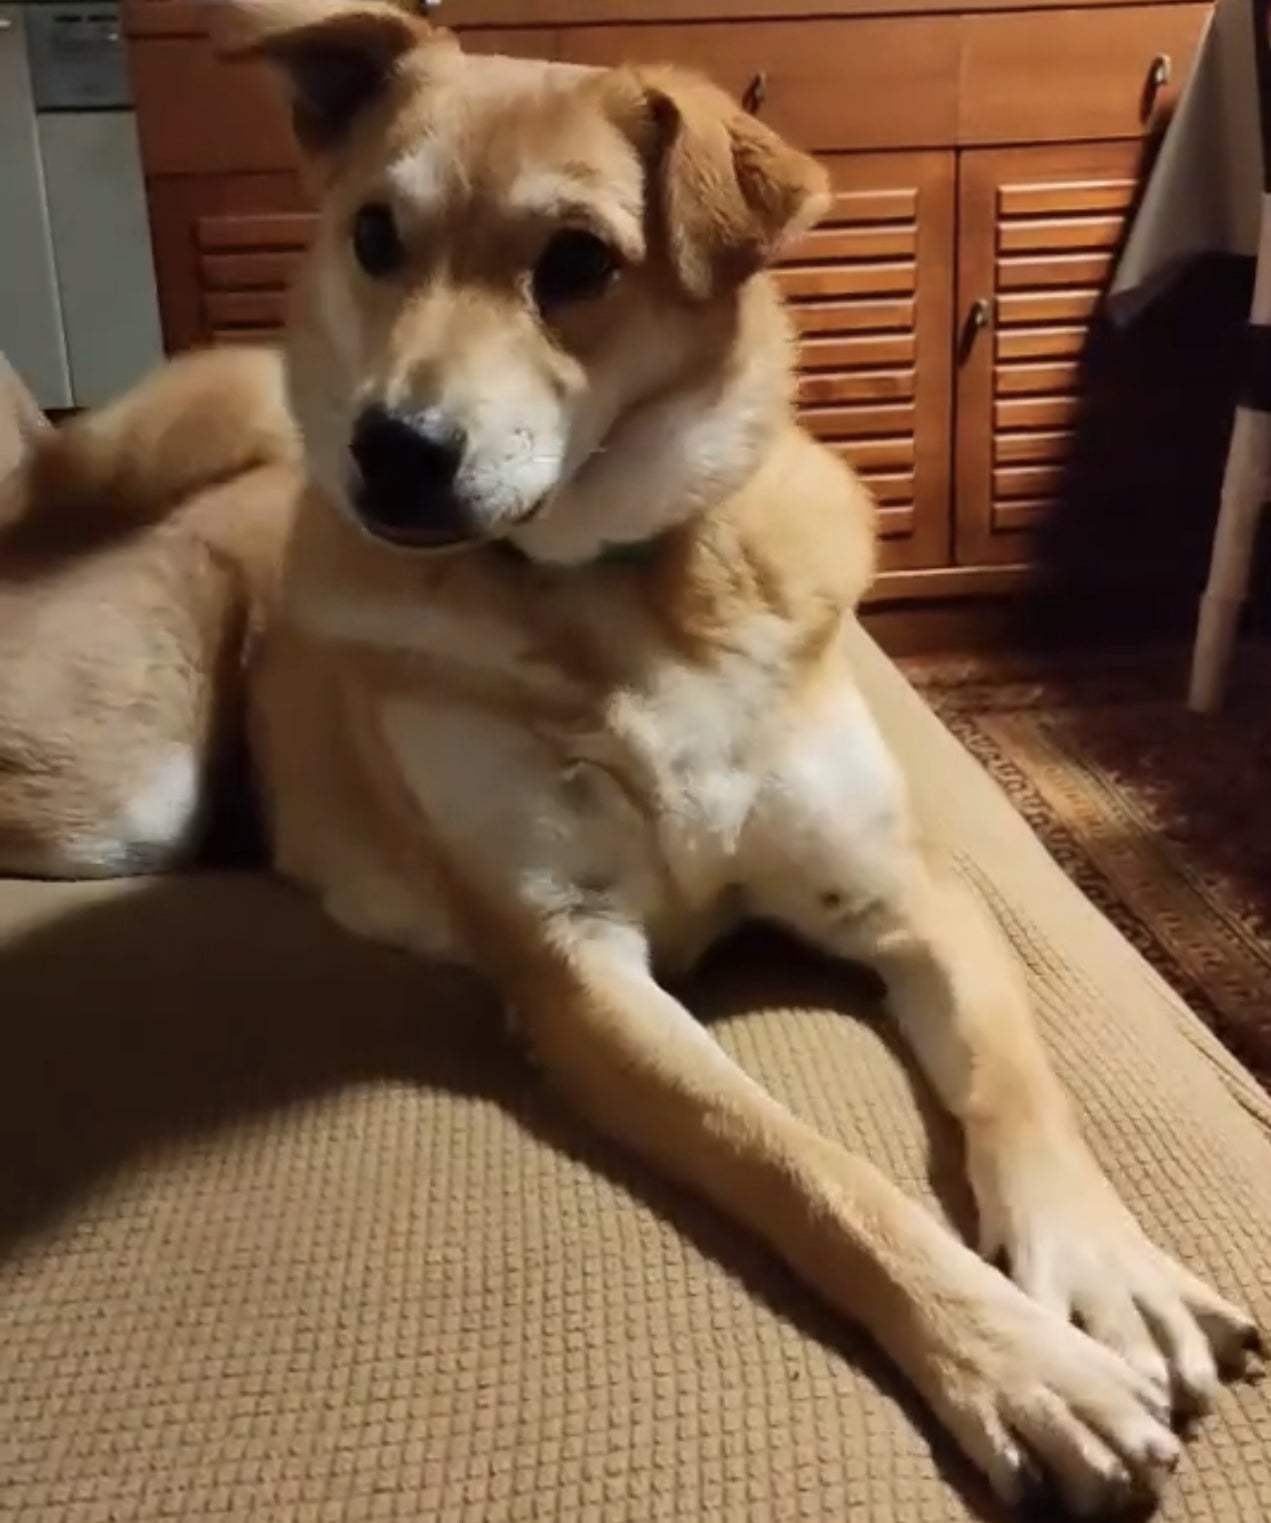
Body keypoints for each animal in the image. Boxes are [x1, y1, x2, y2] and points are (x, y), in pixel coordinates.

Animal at [0, 1, 1260, 1513]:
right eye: (373, 234)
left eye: (578, 263)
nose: (390, 448)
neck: (614, 592)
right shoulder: (577, 972)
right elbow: (810, 1168)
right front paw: (1015, 1360)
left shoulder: (908, 896)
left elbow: (1016, 1085)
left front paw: (1101, 1270)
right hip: (136, 790)